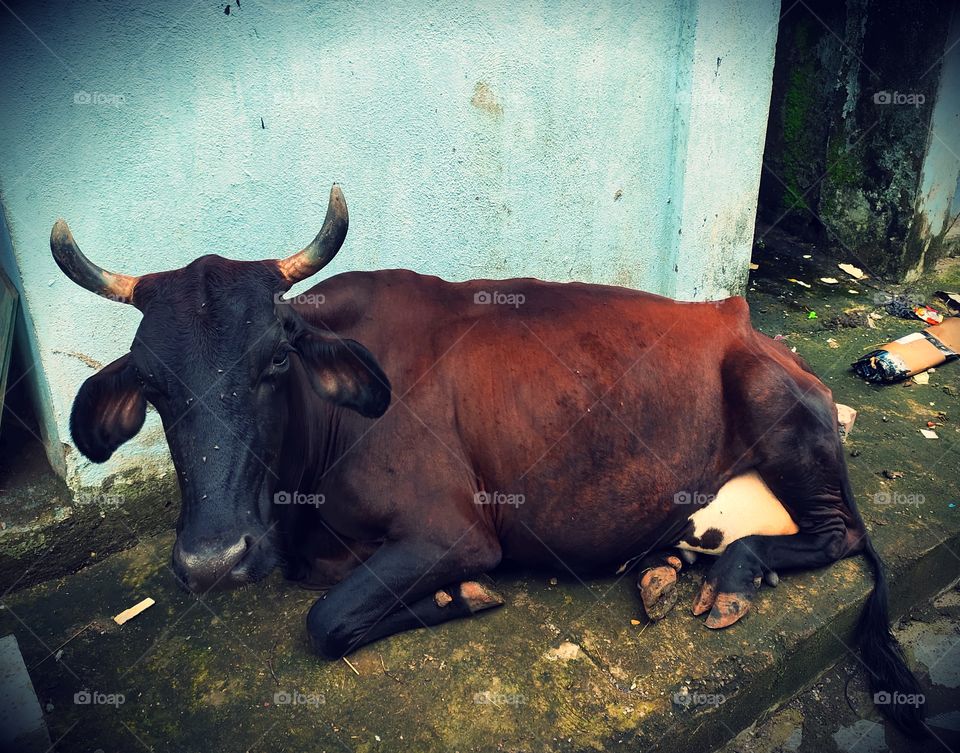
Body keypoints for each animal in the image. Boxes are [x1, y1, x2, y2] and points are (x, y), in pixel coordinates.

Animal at [51, 186, 925, 736]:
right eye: (153, 384)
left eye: (273, 360)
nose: (212, 557)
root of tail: (751, 326)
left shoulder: (454, 531)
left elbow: (326, 622)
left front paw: (459, 596)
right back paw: (664, 567)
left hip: (777, 411)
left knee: (840, 534)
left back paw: (734, 574)